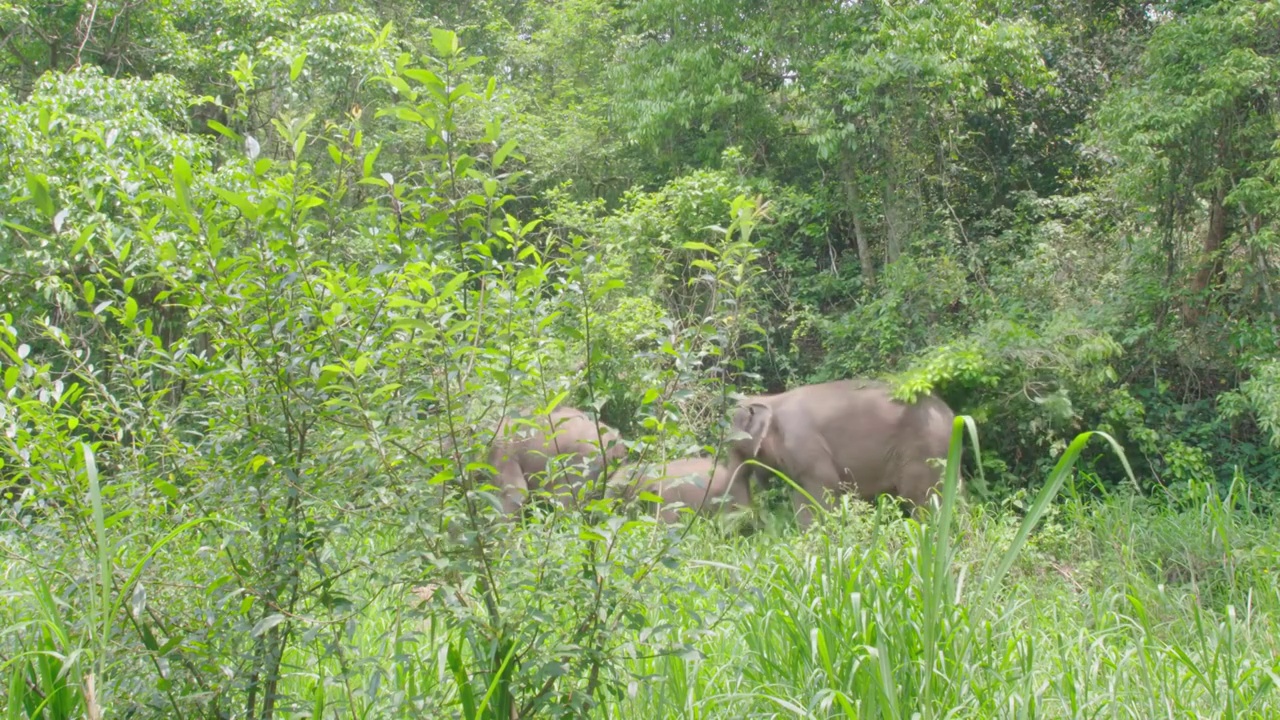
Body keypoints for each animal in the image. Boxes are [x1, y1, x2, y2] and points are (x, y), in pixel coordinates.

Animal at [727, 376, 957, 527]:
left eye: (734, 446)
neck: (771, 398)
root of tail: (950, 414)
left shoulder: (804, 444)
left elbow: (824, 489)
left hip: (925, 450)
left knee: (920, 498)